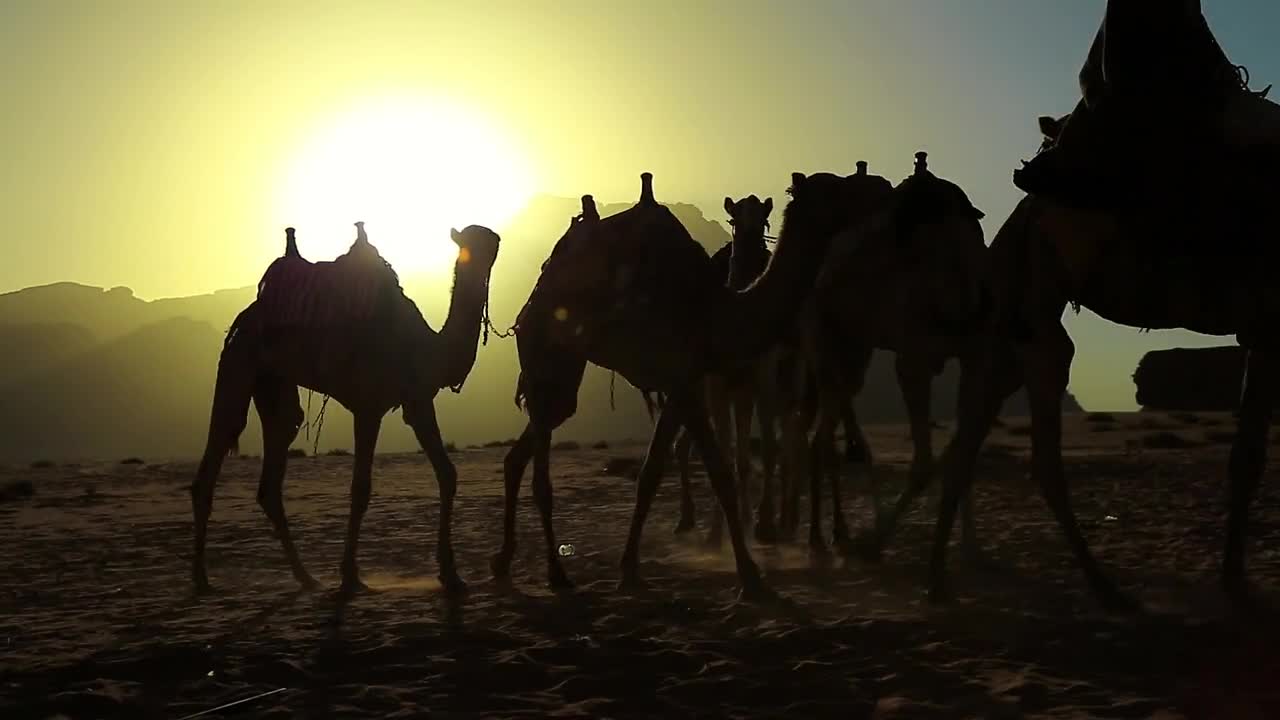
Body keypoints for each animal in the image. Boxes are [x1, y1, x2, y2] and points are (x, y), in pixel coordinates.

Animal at [189, 221, 499, 591]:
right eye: (468, 243)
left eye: (493, 244)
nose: (489, 250)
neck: (426, 347)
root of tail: (243, 318)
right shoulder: (369, 406)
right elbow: (360, 488)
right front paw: (350, 575)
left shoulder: (417, 400)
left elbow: (447, 474)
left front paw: (451, 573)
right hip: (238, 363)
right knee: (225, 433)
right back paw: (201, 578)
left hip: (274, 384)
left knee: (278, 450)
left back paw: (306, 577)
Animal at [491, 169, 870, 594]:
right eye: (834, 190)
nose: (876, 195)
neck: (719, 312)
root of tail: (533, 296)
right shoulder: (686, 379)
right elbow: (719, 471)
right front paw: (750, 575)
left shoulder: (681, 382)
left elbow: (652, 471)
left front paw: (630, 567)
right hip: (542, 350)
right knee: (540, 464)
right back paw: (556, 574)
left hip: (565, 372)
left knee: (525, 447)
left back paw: (503, 560)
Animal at [921, 109, 1280, 607]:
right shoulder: (1269, 326)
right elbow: (1248, 458)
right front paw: (1234, 583)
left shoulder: (1260, 332)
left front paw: (1234, 579)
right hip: (1034, 311)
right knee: (1038, 451)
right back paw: (1102, 586)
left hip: (1010, 331)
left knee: (968, 441)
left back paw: (939, 576)